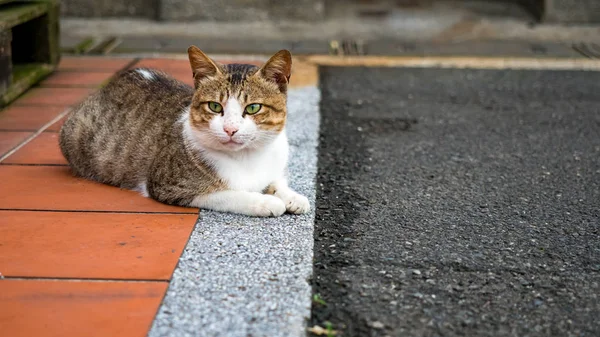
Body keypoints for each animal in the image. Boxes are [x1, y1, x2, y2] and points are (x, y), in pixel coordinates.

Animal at [59, 46, 310, 217]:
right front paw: (265, 202)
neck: (248, 157)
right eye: (215, 106)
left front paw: (292, 196)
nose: (230, 129)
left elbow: (277, 181)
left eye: (253, 108)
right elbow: (231, 194)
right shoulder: (168, 185)